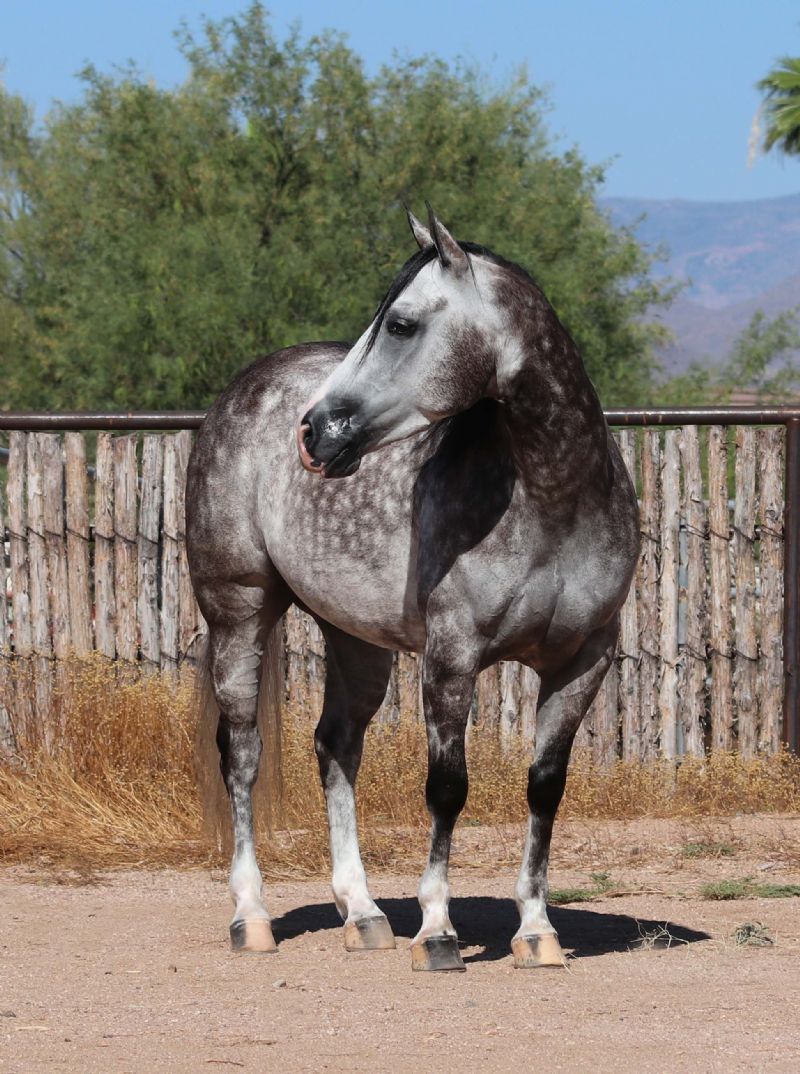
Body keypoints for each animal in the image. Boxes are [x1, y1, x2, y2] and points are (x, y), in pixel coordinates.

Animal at [186, 206, 640, 972]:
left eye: (400, 324)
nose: (314, 431)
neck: (554, 500)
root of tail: (245, 388)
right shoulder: (452, 658)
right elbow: (448, 788)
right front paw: (437, 931)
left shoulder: (584, 661)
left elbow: (545, 787)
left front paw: (536, 930)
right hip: (239, 612)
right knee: (242, 752)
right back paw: (252, 916)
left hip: (355, 640)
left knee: (336, 747)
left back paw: (363, 913)